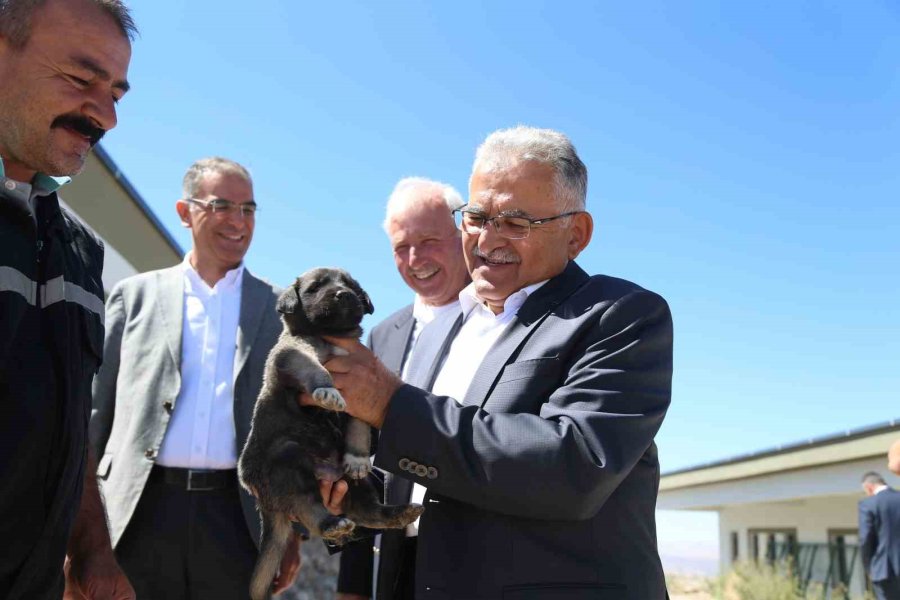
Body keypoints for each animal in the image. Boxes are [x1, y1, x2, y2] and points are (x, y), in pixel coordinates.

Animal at [237, 268, 424, 600]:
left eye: (351, 286)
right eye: (314, 288)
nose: (344, 295)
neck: (331, 335)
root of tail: (267, 503)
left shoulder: (361, 388)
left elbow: (359, 423)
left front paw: (358, 456)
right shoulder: (294, 354)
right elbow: (315, 370)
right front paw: (326, 390)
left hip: (354, 483)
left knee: (366, 510)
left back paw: (397, 513)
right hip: (288, 461)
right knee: (309, 507)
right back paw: (330, 523)